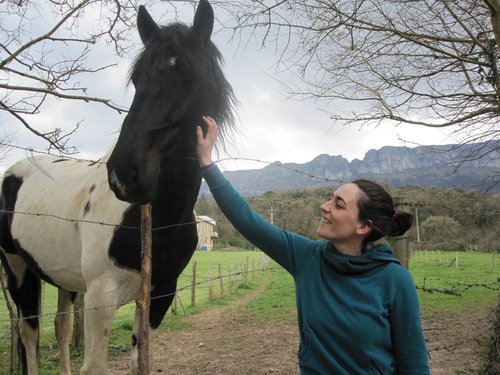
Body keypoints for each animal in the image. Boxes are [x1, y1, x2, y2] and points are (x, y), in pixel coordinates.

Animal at [0, 1, 235, 374]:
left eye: (190, 78)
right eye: (137, 79)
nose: (125, 173)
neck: (160, 219)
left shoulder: (159, 295)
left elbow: (139, 360)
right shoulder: (101, 296)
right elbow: (93, 365)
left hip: (63, 279)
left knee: (62, 327)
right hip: (17, 269)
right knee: (29, 335)